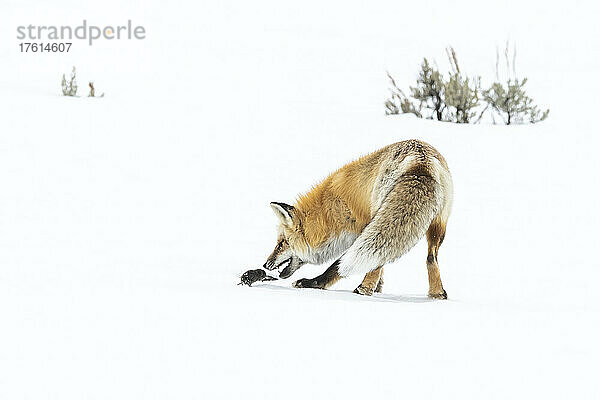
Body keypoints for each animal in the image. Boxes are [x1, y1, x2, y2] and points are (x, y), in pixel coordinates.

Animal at [264, 139, 454, 298]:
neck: (328, 211)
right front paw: (379, 289)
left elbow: (337, 266)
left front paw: (314, 283)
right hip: (437, 226)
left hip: (381, 220)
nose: (266, 264)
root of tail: (421, 160)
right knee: (430, 257)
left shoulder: (359, 231)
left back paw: (363, 289)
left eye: (282, 243)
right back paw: (437, 294)